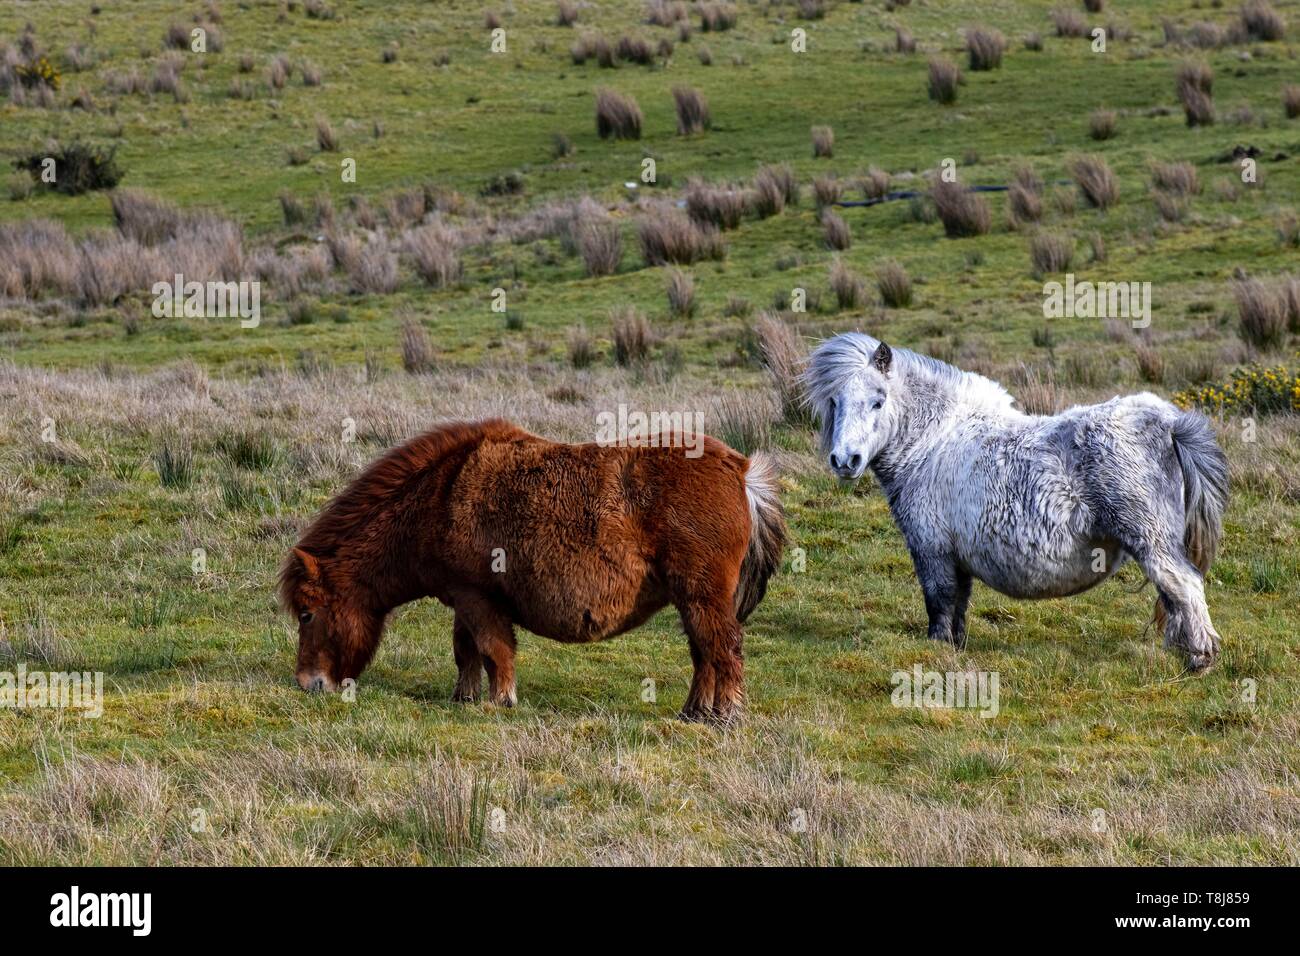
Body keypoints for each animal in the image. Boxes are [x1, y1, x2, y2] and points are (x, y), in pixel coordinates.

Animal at [280, 418, 785, 723]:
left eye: (306, 614)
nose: (307, 684)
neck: (440, 496)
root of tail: (739, 469)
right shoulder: (464, 599)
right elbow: (466, 651)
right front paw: (464, 698)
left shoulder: (478, 599)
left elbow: (494, 651)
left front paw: (500, 700)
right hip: (693, 600)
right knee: (705, 654)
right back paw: (695, 712)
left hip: (701, 596)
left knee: (723, 650)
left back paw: (725, 715)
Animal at [806, 332, 1232, 671]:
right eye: (835, 402)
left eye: (878, 401)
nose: (845, 460)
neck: (932, 443)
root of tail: (1167, 422)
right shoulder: (958, 558)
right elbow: (958, 606)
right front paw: (956, 650)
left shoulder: (932, 551)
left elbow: (939, 603)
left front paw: (937, 651)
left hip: (1152, 542)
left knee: (1185, 587)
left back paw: (1200, 659)